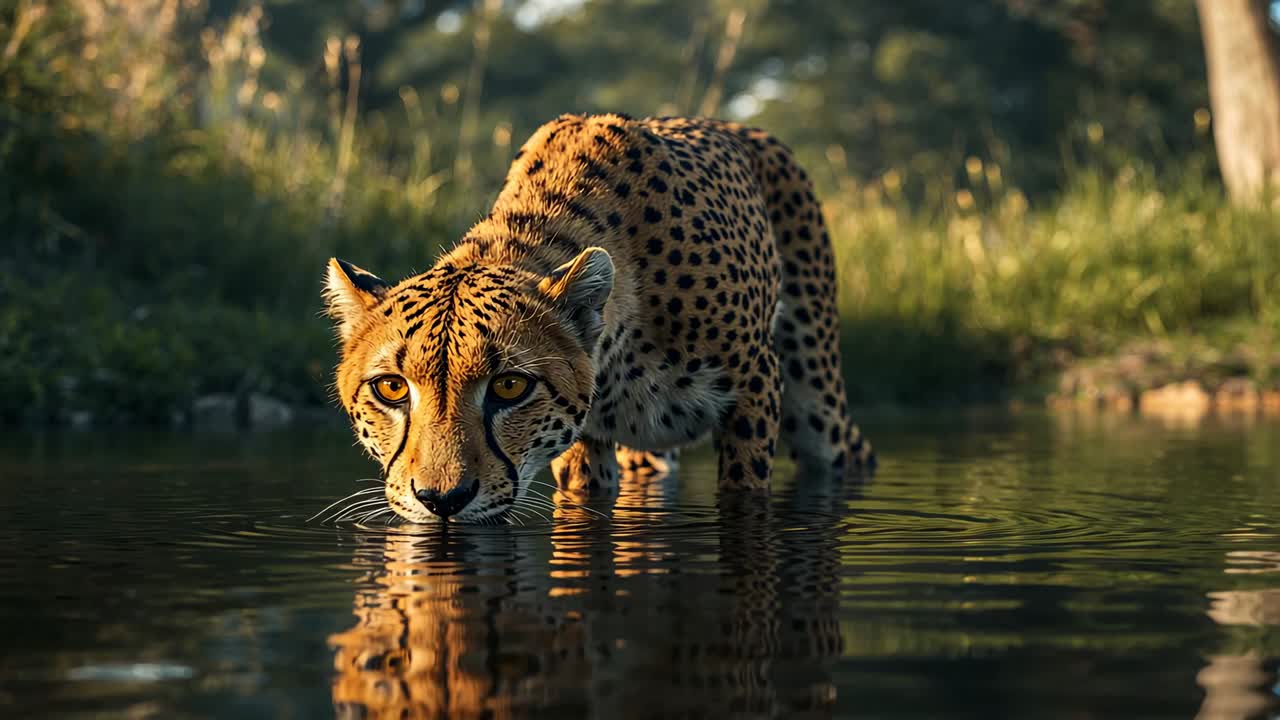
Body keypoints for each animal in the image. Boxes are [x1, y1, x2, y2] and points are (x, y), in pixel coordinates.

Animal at [323, 113, 873, 524]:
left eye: (509, 387)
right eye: (391, 388)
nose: (441, 500)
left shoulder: (755, 389)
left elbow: (744, 487)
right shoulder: (588, 438)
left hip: (817, 406)